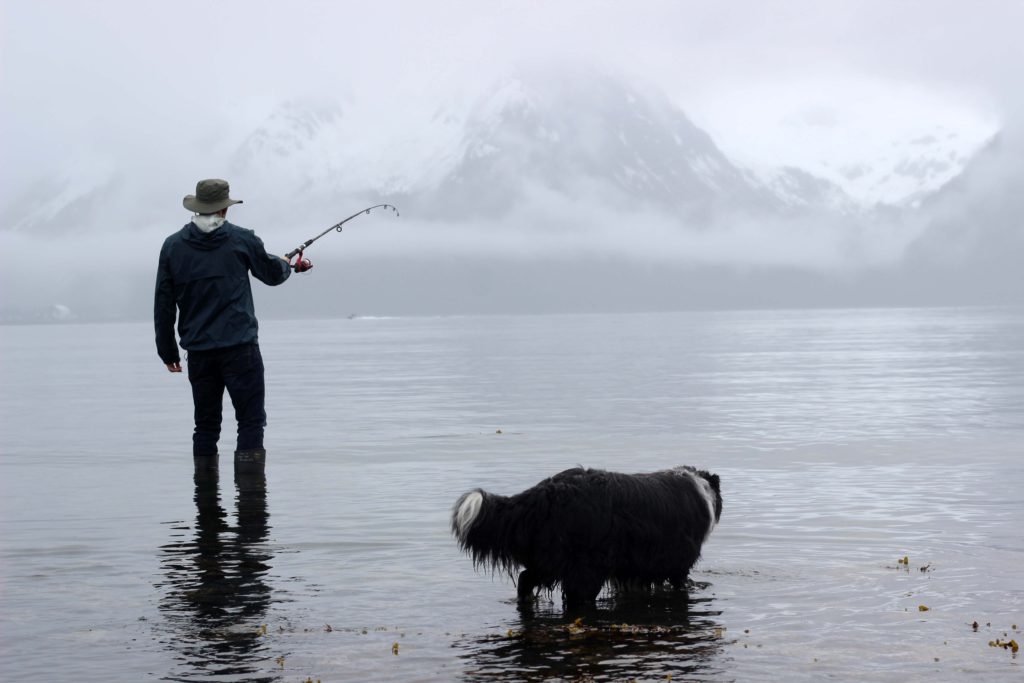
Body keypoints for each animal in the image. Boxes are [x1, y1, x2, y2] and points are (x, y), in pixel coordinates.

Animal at [452, 464, 724, 610]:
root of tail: (545, 492)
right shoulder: (676, 557)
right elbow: (679, 579)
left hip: (551, 556)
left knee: (525, 578)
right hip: (585, 564)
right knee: (575, 594)